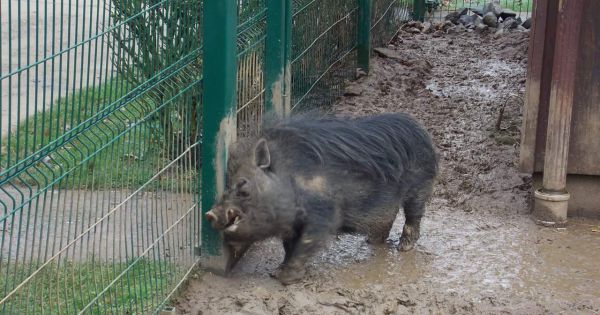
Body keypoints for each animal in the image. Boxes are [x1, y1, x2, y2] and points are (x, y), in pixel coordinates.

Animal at [204, 112, 438, 286]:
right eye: (227, 186)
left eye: (243, 187)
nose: (210, 213)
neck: (290, 180)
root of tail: (422, 132)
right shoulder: (291, 226)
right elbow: (289, 247)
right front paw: (276, 272)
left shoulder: (323, 215)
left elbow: (304, 244)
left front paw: (285, 279)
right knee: (389, 215)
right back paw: (371, 241)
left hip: (420, 186)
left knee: (414, 214)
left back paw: (404, 247)